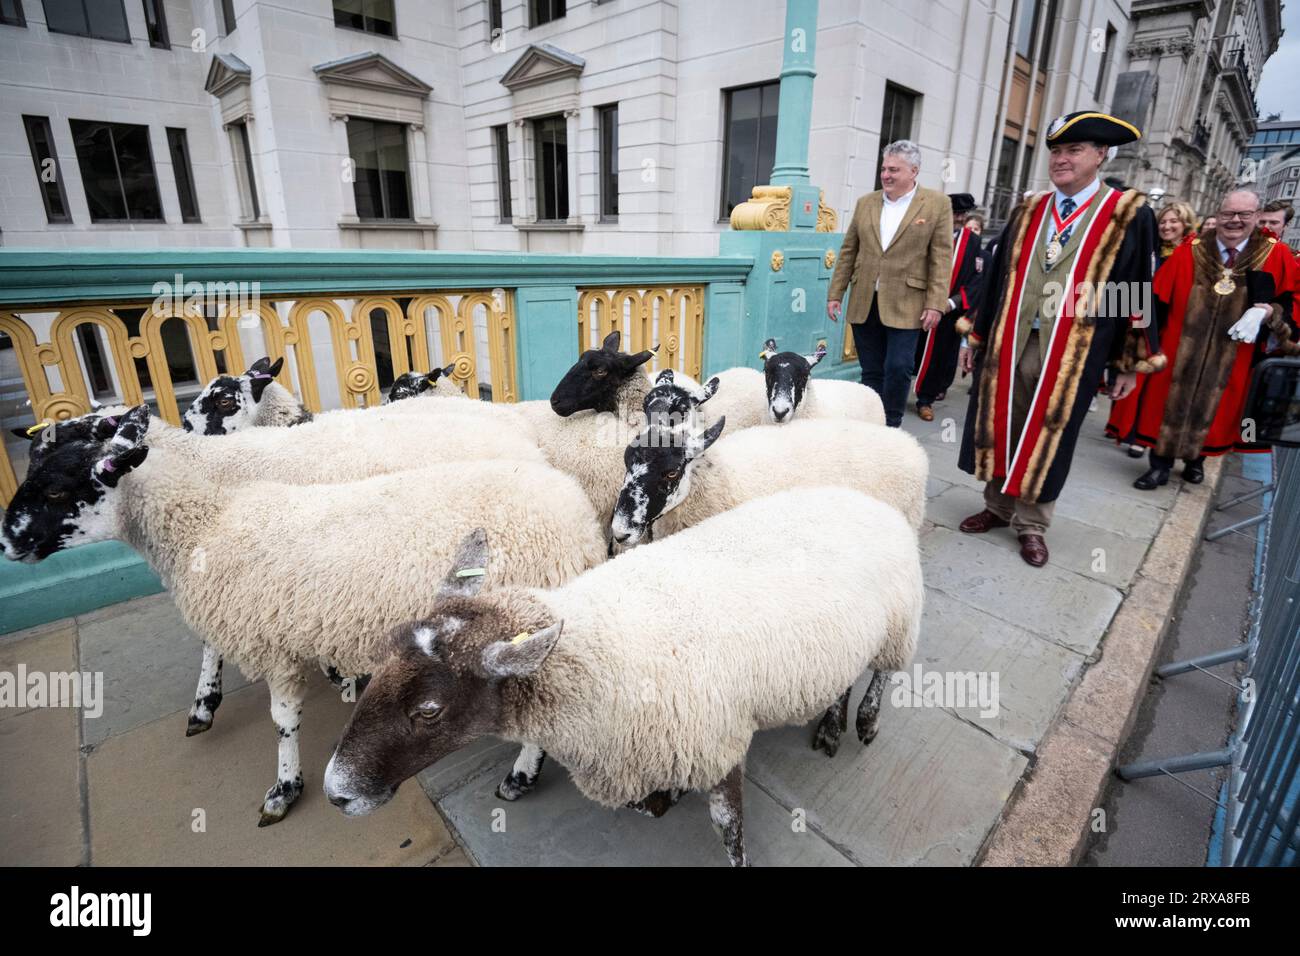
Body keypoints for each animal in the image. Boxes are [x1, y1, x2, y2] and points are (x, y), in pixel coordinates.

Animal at [0, 403, 608, 822]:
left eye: (56, 489)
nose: (7, 542)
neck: (209, 515)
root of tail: (570, 504)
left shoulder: (268, 638)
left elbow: (281, 720)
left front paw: (282, 787)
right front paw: (213, 705)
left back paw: (521, 775)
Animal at [322, 486, 925, 868]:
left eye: (429, 711)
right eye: (379, 671)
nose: (335, 793)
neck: (598, 650)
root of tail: (862, 498)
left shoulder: (718, 742)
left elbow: (729, 830)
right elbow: (651, 801)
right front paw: (665, 797)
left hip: (899, 624)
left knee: (881, 675)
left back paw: (862, 722)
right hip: (846, 640)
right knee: (844, 677)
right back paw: (830, 724)